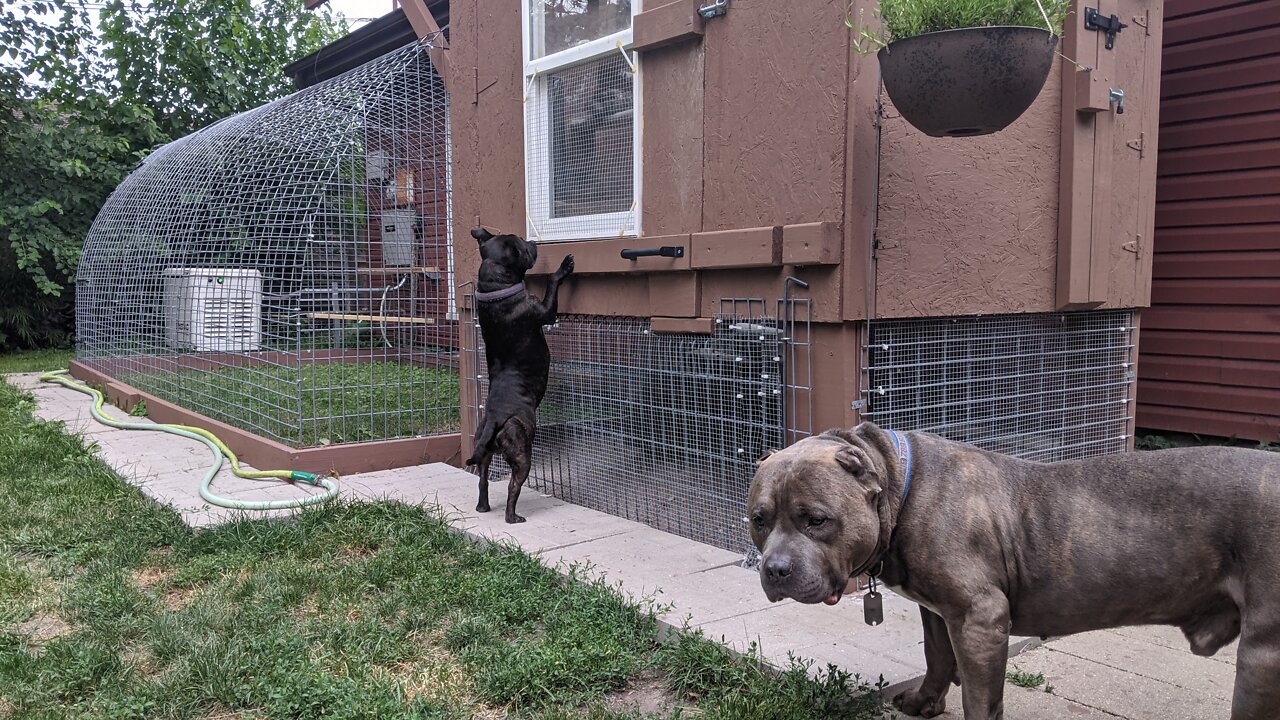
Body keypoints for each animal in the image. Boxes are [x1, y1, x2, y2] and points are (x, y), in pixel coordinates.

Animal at [468, 225, 573, 520]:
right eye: (523, 247)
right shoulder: (545, 311)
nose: (533, 241)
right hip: (521, 452)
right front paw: (563, 267)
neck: (496, 289)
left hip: (483, 452)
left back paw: (483, 507)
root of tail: (494, 419)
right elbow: (553, 284)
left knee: (482, 481)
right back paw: (513, 517)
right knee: (513, 486)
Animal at [747, 422, 1280, 712]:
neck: (901, 487)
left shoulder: (981, 619)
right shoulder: (940, 611)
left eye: (817, 520)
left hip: (1262, 655)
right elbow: (936, 657)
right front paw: (923, 703)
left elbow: (980, 696)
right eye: (758, 519)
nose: (774, 570)